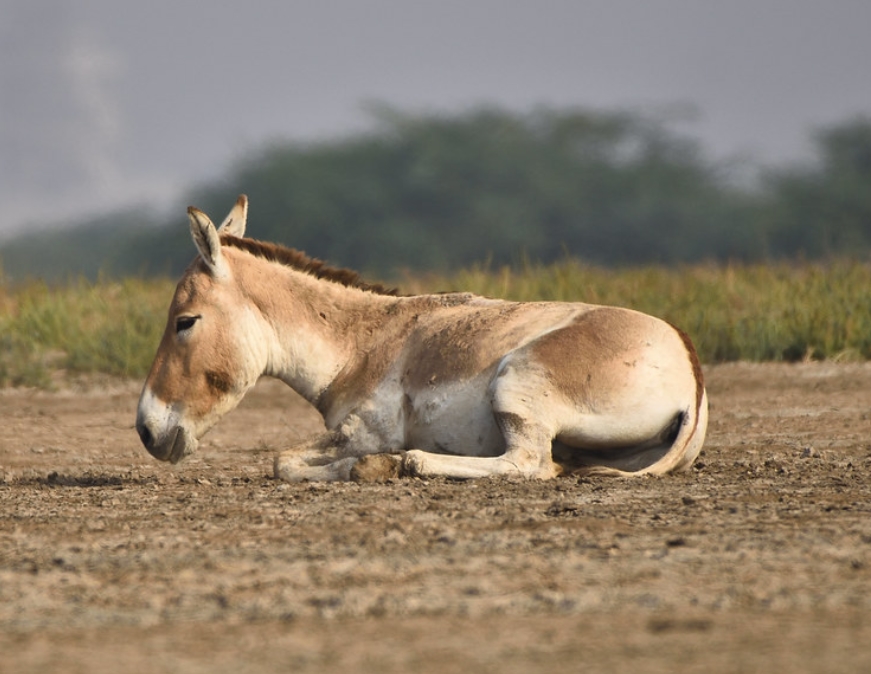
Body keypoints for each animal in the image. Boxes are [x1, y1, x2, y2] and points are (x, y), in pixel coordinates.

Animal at [136, 196, 708, 482]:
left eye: (185, 321)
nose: (145, 430)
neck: (361, 344)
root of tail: (692, 373)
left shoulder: (367, 427)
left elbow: (283, 461)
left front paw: (369, 467)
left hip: (518, 383)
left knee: (529, 465)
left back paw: (408, 464)